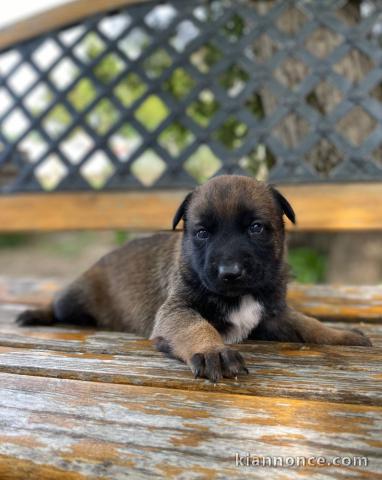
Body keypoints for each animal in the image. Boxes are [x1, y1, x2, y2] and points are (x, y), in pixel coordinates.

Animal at [16, 174, 372, 380]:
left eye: (256, 228)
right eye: (201, 233)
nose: (230, 272)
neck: (238, 296)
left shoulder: (273, 314)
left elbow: (308, 325)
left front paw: (342, 335)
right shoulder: (177, 311)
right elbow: (195, 326)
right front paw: (213, 351)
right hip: (71, 301)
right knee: (57, 305)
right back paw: (35, 313)